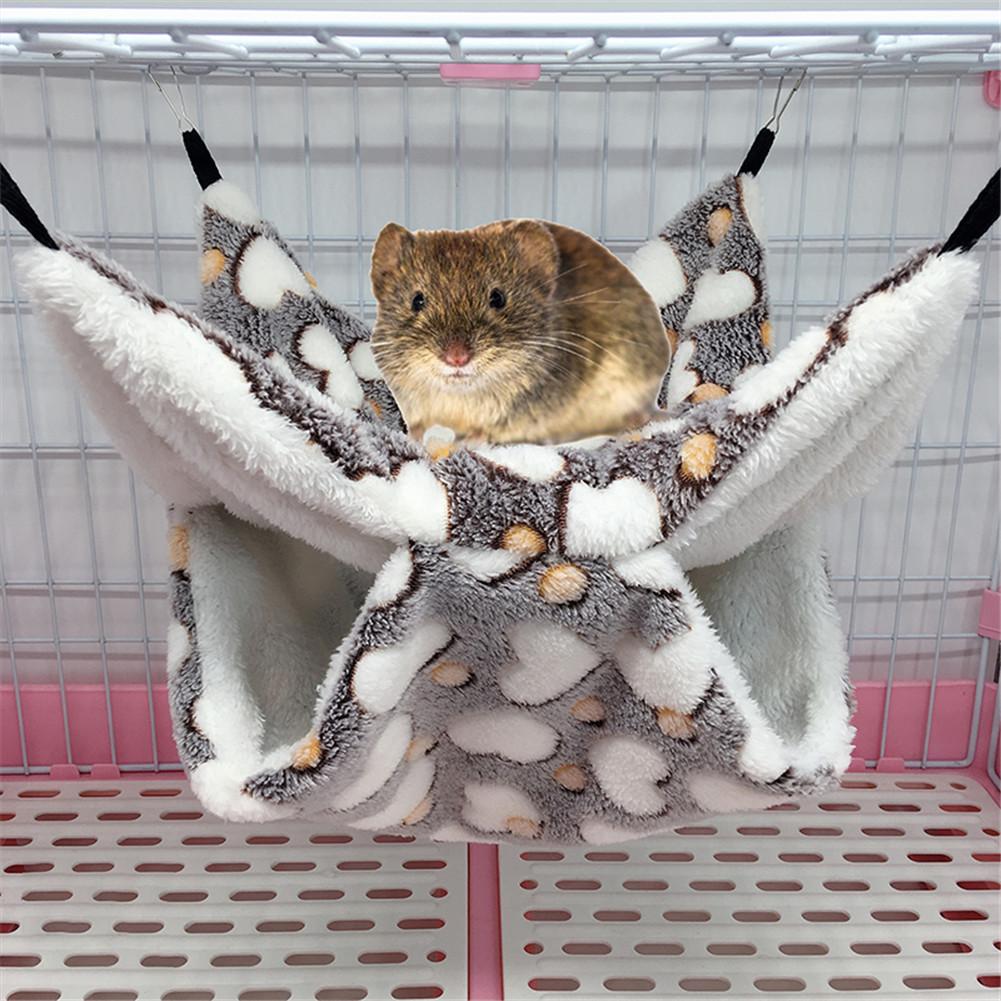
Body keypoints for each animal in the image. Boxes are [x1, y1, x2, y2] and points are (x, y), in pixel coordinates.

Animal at [369, 218, 670, 445]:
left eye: (498, 298)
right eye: (417, 300)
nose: (457, 358)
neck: (459, 397)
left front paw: (468, 441)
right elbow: (418, 425)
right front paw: (413, 437)